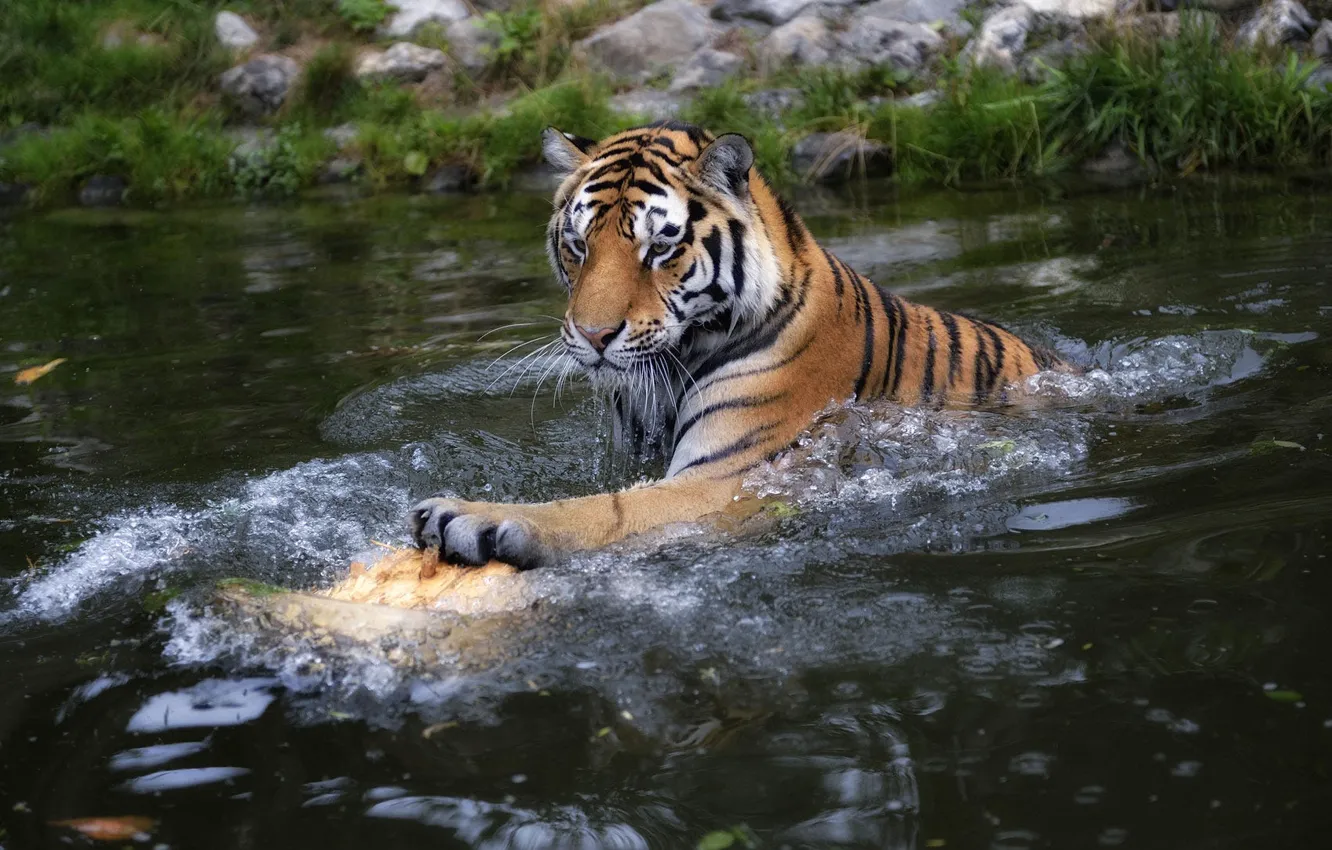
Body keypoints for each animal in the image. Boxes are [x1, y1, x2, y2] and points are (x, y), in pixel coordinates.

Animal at [408, 121, 1068, 569]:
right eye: (578, 244)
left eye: (659, 247)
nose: (594, 337)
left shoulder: (724, 479)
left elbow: (605, 507)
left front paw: (471, 516)